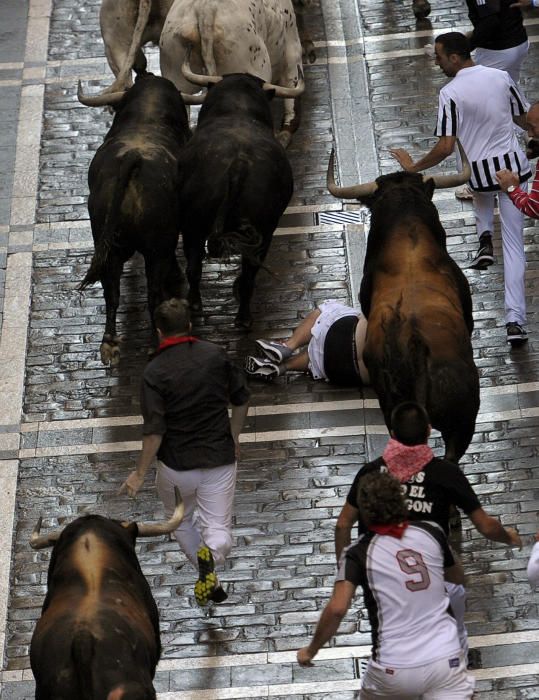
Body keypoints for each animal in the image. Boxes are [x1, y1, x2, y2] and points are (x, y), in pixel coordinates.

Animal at [77, 74, 192, 364]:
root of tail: (134, 157)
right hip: (156, 248)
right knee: (153, 293)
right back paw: (154, 341)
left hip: (107, 246)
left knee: (111, 291)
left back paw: (109, 344)